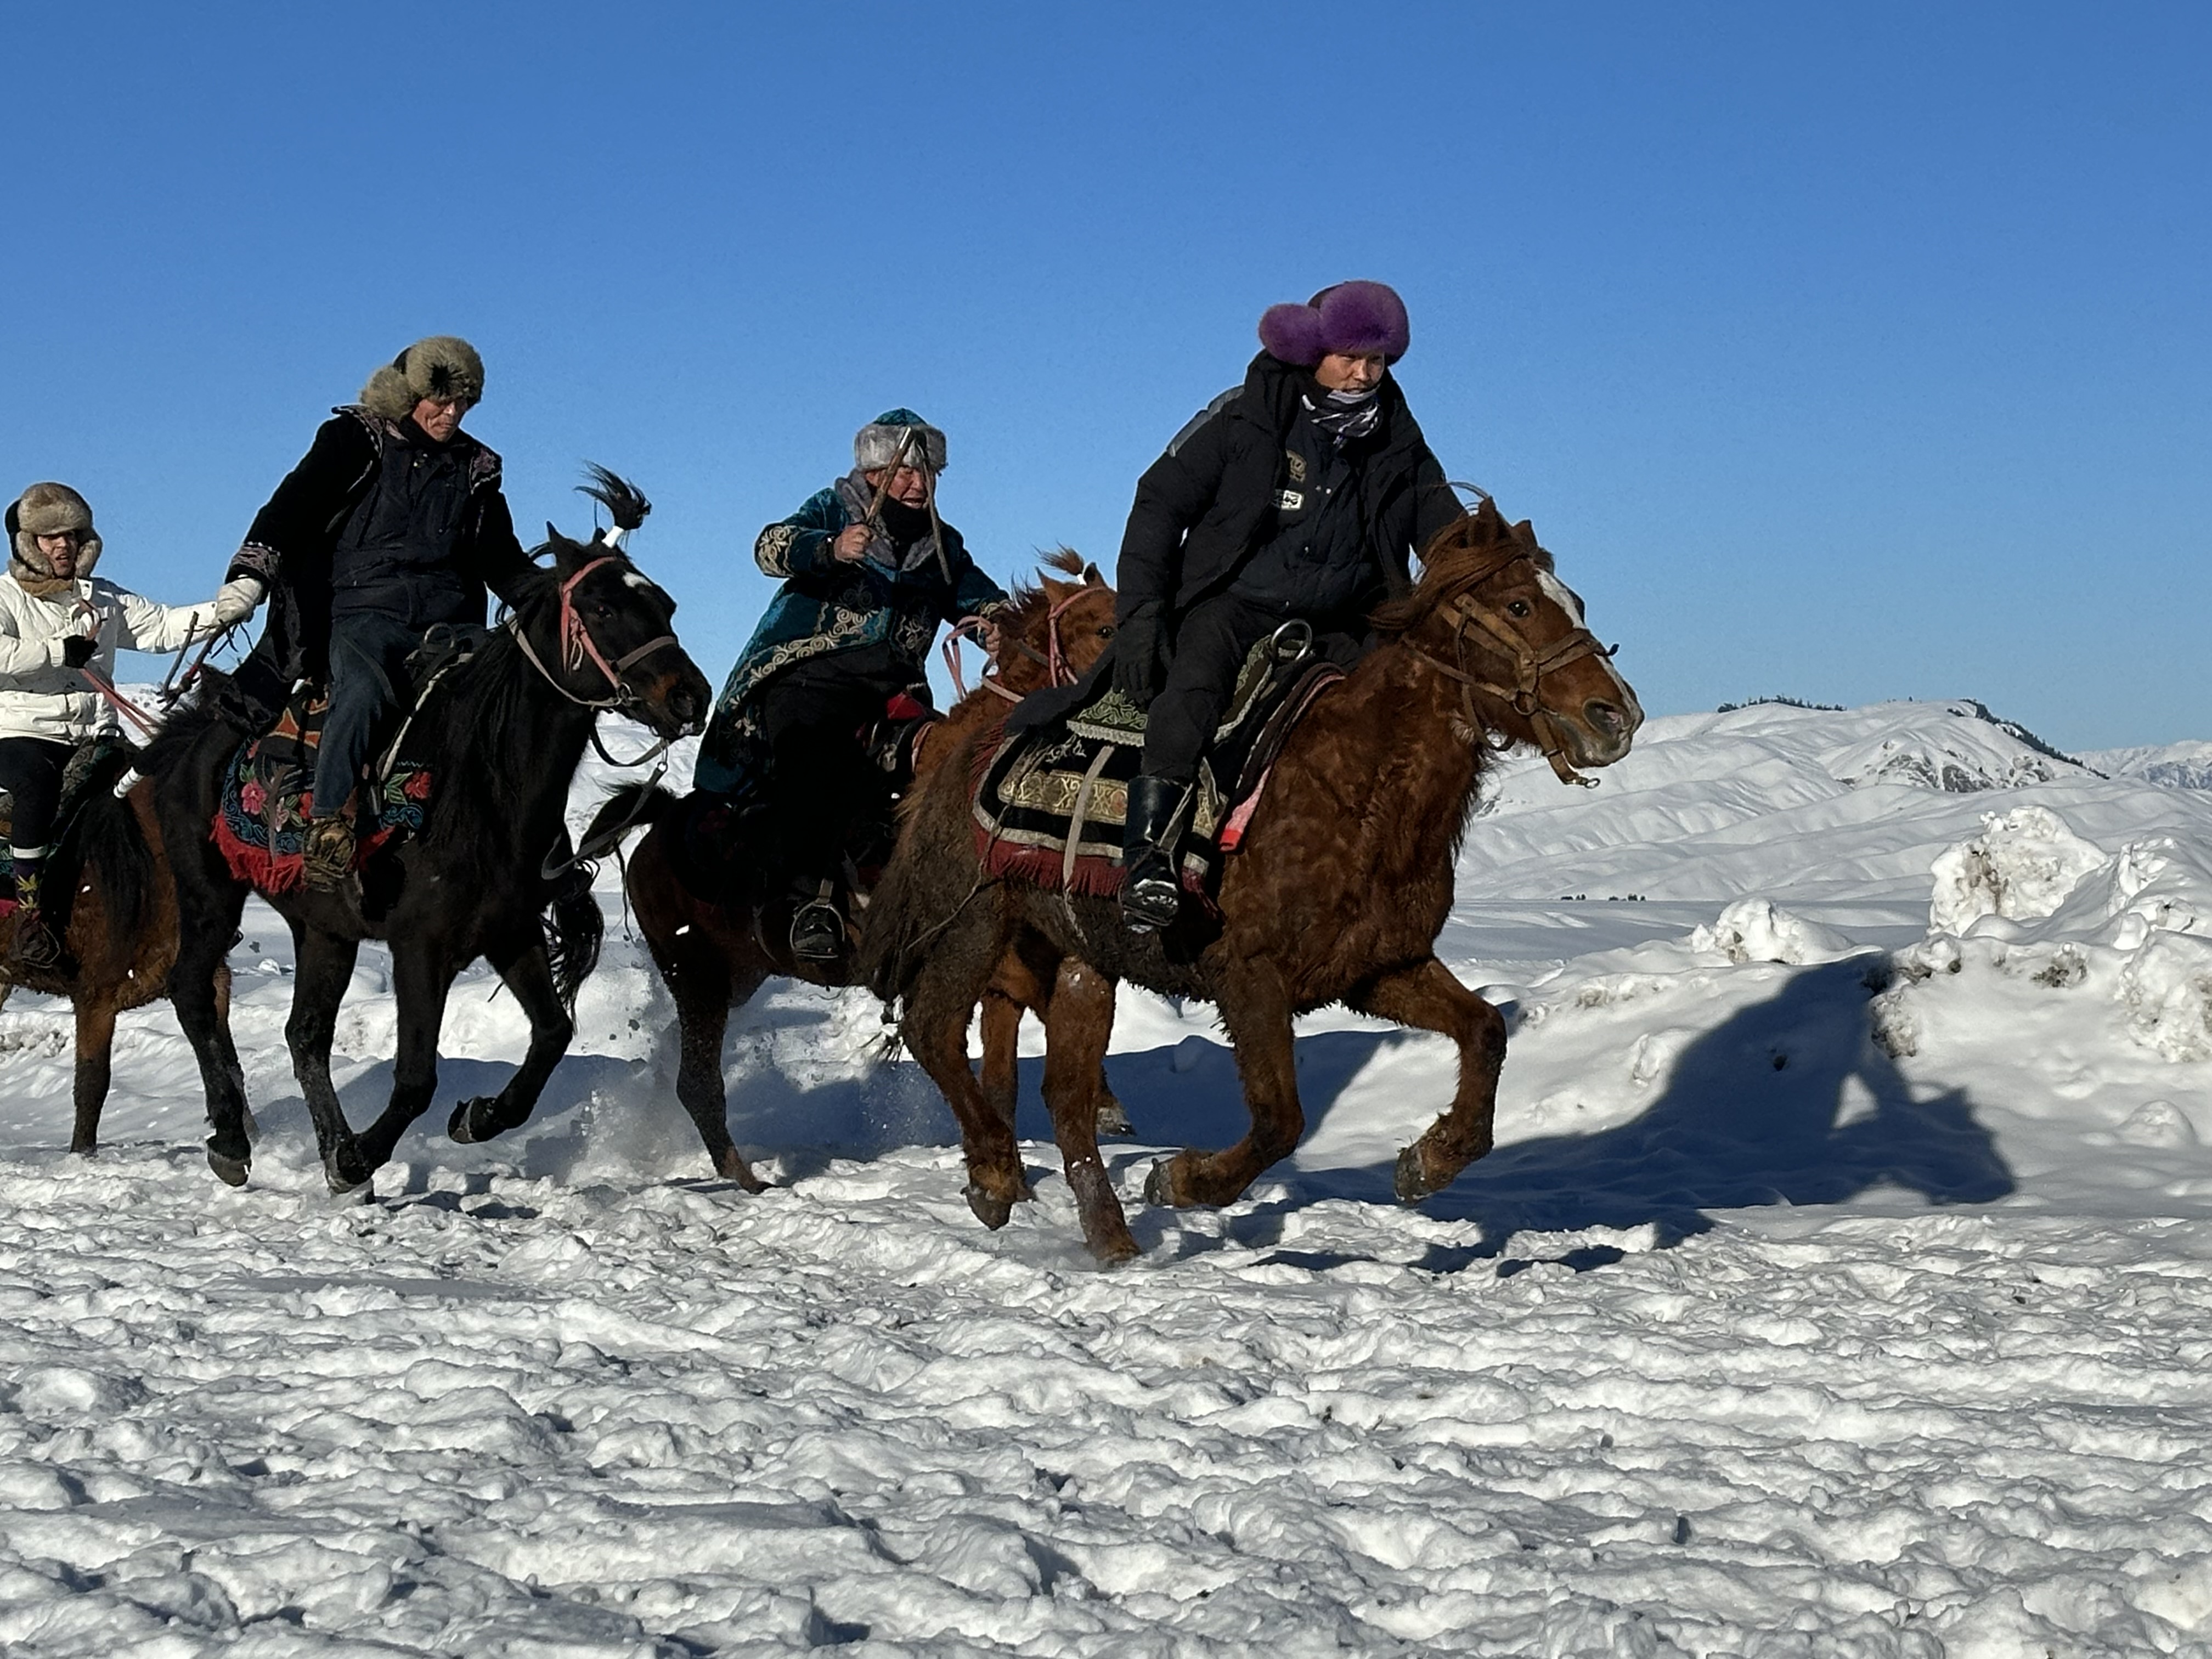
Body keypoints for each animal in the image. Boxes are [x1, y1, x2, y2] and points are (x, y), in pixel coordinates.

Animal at [136, 471, 708, 1194]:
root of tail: (188, 736)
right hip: (210, 895)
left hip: (323, 928)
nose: (690, 697)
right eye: (601, 608)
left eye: (665, 605)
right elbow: (415, 1078)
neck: (485, 787)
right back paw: (236, 1142)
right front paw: (363, 1156)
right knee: (193, 994)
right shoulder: (420, 946)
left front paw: (478, 1117)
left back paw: (330, 1146)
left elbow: (552, 1035)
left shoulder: (510, 931)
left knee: (305, 1035)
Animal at [584, 553, 1124, 1186]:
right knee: (697, 1084)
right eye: (1104, 628)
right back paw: (746, 1180)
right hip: (696, 977)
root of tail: (662, 825)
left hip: (736, 975)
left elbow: (1014, 1056)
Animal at [862, 500, 1645, 1265]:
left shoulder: (1378, 968)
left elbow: (1485, 1032)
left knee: (1067, 1097)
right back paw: (996, 1176)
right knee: (934, 1031)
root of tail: (969, 740)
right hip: (975, 926)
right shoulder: (1249, 976)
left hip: (1084, 960)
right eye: (1519, 605)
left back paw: (1109, 1237)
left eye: (1572, 601)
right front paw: (1180, 1179)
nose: (1616, 716)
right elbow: (1279, 1121)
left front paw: (1428, 1161)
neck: (1354, 788)